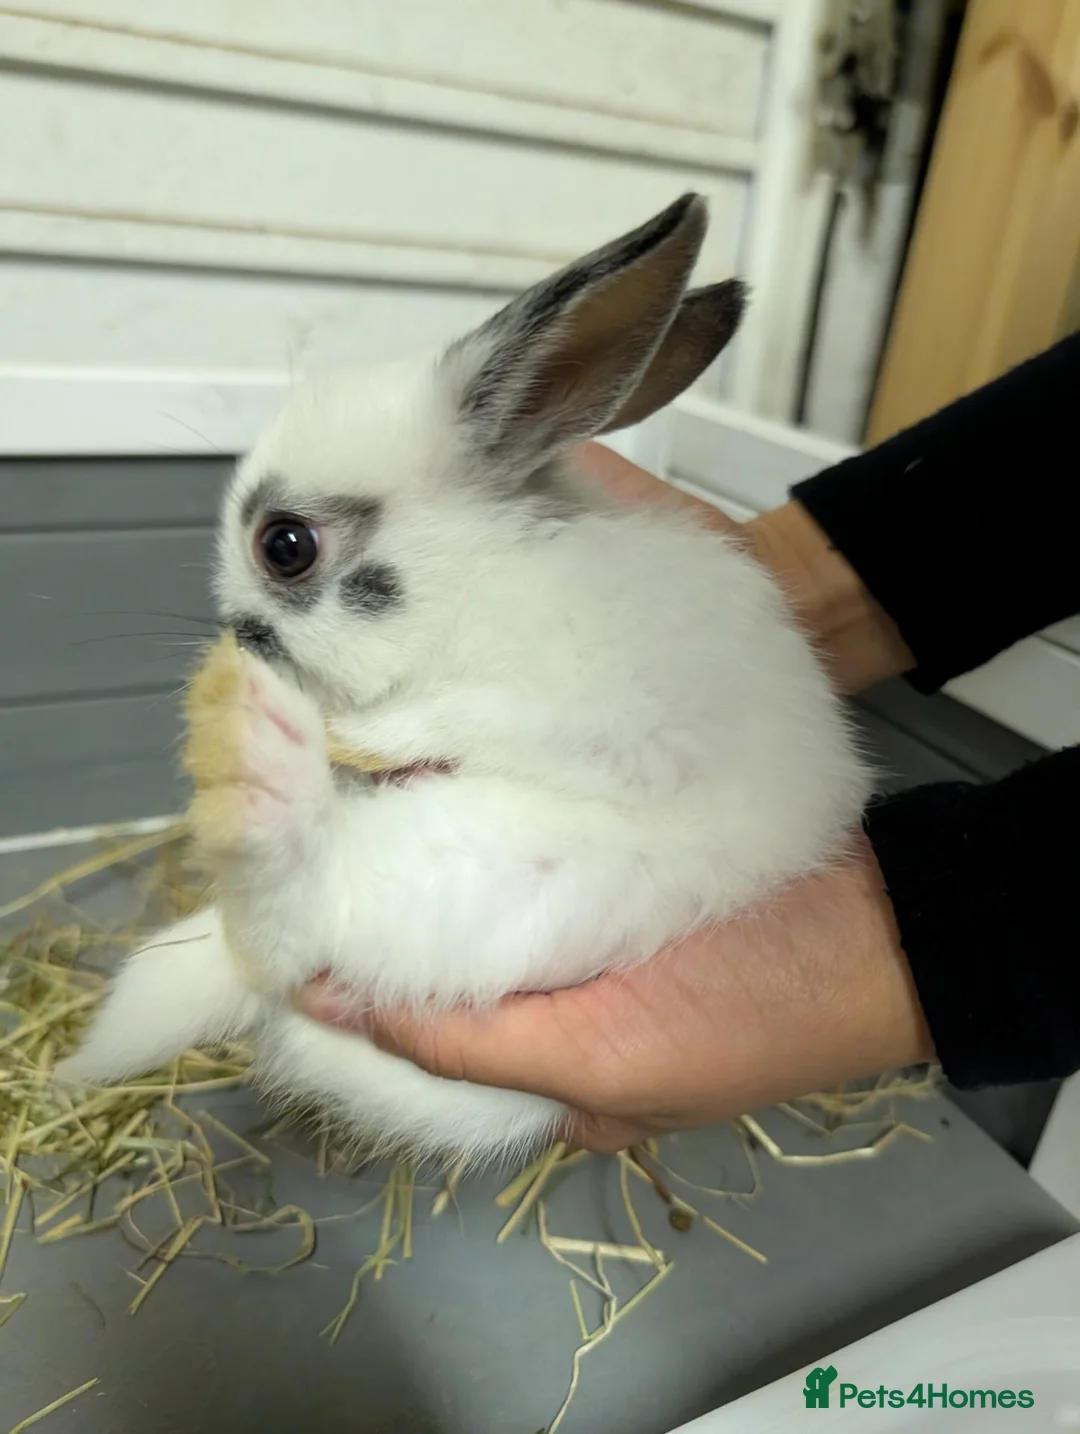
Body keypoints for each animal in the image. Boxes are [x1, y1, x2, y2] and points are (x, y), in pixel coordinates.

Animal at [59, 194, 871, 1165]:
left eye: (284, 546)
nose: (237, 639)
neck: (480, 580)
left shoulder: (595, 712)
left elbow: (466, 718)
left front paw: (354, 738)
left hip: (499, 881)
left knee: (289, 918)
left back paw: (261, 760)